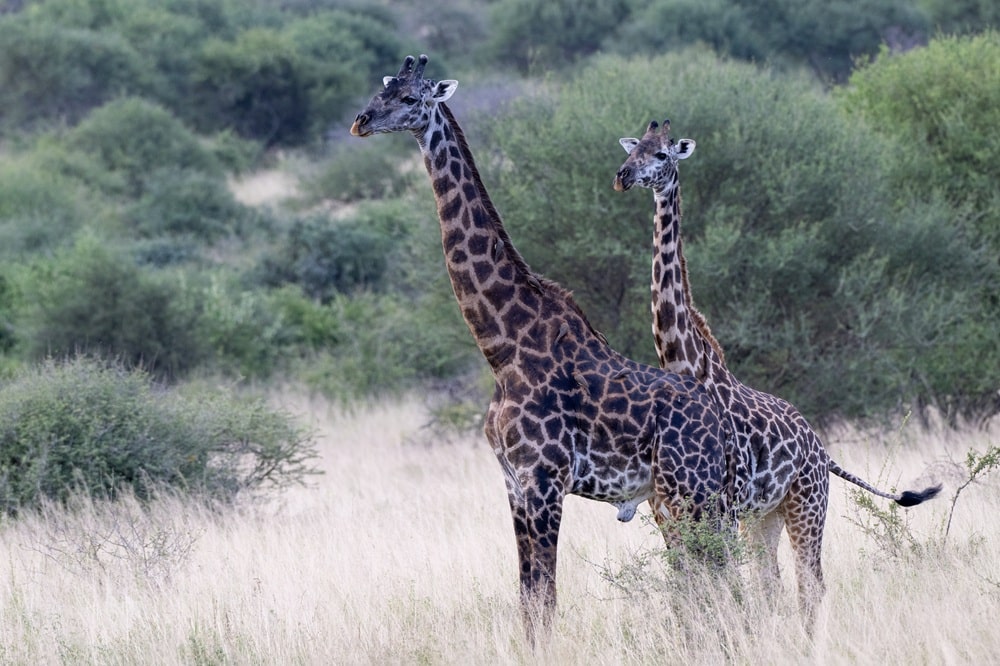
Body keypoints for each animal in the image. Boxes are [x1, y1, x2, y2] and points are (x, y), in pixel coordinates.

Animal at [350, 56, 731, 643]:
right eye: (383, 87)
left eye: (412, 99)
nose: (361, 121)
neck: (503, 344)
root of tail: (720, 422)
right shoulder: (513, 482)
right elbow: (528, 598)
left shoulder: (545, 479)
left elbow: (546, 599)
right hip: (680, 498)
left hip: (694, 494)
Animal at [612, 119, 942, 628]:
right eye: (635, 149)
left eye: (663, 154)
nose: (624, 176)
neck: (684, 365)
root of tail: (821, 449)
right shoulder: (668, 510)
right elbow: (690, 592)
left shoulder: (720, 507)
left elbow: (720, 588)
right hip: (764, 516)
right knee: (771, 584)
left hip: (806, 505)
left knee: (810, 584)